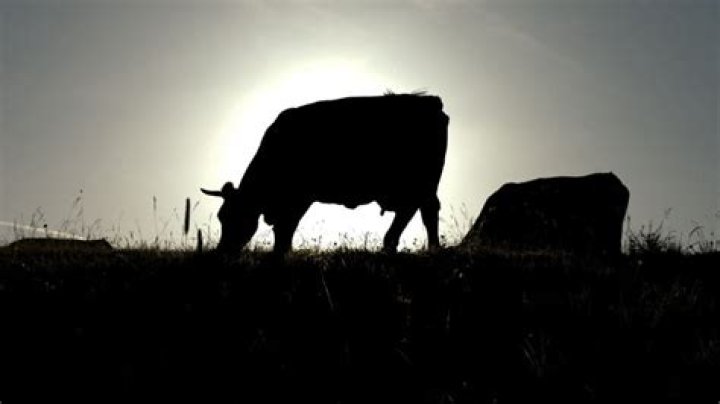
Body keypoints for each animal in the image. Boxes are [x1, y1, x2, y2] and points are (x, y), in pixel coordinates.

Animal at [202, 93, 449, 254]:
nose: (223, 251)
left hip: (420, 183)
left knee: (420, 210)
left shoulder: (299, 197)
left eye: (236, 217)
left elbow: (285, 230)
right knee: (424, 211)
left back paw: (417, 248)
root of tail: (430, 102)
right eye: (221, 217)